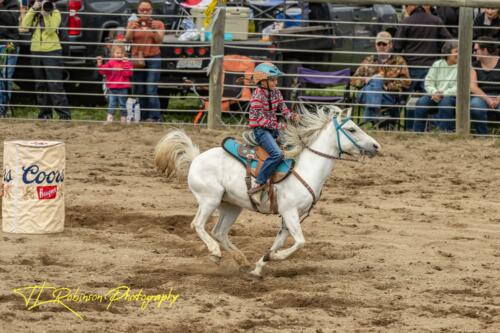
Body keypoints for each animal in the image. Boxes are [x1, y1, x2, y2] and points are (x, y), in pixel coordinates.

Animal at [154, 105, 380, 276]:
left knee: (219, 231)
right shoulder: (290, 213)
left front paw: (260, 265)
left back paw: (241, 260)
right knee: (198, 225)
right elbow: (300, 242)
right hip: (210, 199)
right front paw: (274, 258)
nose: (376, 146)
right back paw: (216, 253)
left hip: (231, 205)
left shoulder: (289, 218)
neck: (306, 170)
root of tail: (195, 158)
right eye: (351, 129)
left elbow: (279, 243)